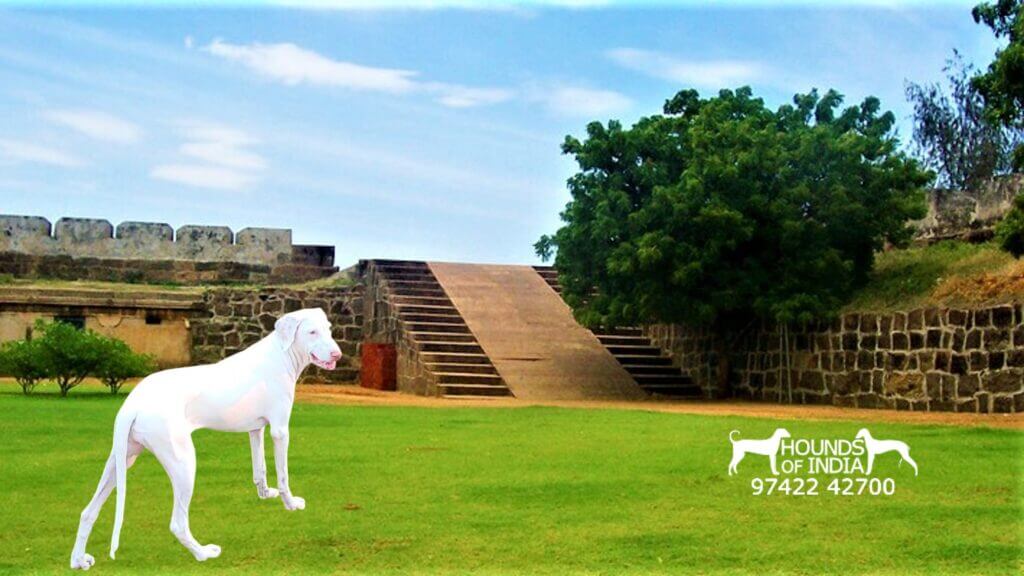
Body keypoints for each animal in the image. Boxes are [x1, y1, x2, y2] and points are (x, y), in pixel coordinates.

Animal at [68, 307, 342, 565]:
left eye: (329, 330)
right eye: (312, 332)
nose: (337, 355)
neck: (281, 354)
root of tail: (132, 403)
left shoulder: (256, 429)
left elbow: (260, 469)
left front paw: (266, 494)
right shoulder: (280, 431)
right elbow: (284, 475)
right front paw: (291, 504)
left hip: (122, 459)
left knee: (87, 512)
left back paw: (79, 560)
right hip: (183, 462)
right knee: (178, 523)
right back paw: (203, 553)